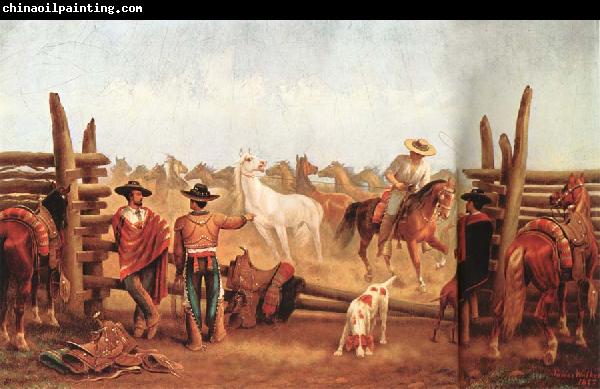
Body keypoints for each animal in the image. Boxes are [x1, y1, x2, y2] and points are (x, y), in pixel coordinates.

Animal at [0, 186, 68, 350]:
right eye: (65, 203)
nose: (65, 223)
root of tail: (5, 233)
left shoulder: (36, 268)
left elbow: (36, 286)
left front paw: (36, 317)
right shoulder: (51, 266)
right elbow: (50, 290)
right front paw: (52, 319)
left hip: (4, 275)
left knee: (3, 303)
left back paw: (4, 336)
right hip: (23, 277)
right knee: (18, 307)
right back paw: (21, 341)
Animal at [490, 174, 596, 366]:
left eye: (564, 187)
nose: (552, 198)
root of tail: (522, 245)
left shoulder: (563, 280)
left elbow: (563, 299)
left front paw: (564, 328)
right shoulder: (586, 277)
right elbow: (581, 305)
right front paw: (579, 338)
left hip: (513, 285)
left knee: (498, 310)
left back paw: (494, 349)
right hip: (548, 289)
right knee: (540, 316)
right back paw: (551, 350)